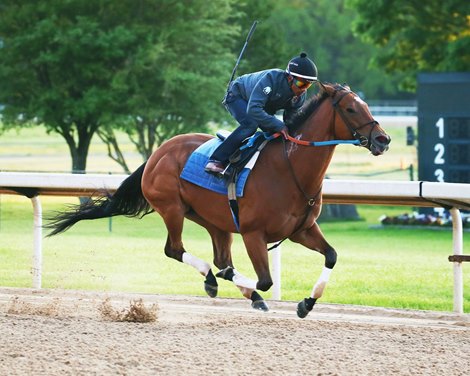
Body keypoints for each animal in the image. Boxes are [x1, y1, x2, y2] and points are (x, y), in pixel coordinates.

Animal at [47, 81, 392, 318]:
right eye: (351, 109)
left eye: (366, 105)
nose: (383, 139)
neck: (289, 168)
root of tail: (157, 152)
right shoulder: (254, 233)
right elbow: (265, 280)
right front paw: (247, 287)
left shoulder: (302, 230)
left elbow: (331, 255)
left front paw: (306, 303)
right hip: (172, 209)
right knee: (176, 250)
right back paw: (216, 282)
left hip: (214, 220)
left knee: (219, 257)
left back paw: (232, 287)